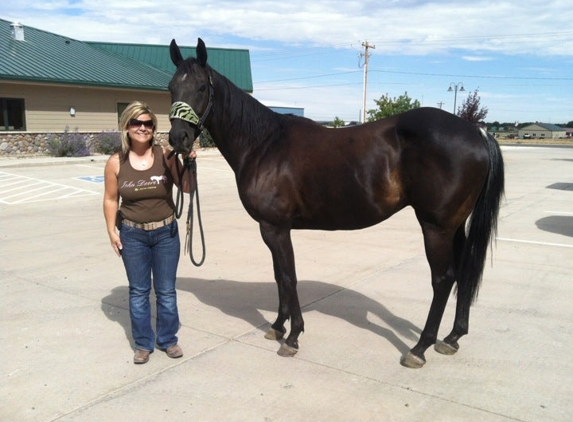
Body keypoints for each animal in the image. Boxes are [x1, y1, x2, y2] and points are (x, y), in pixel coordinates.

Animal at [165, 39, 500, 370]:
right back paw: (452, 338)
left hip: (436, 227)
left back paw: (419, 348)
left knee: (443, 280)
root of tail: (477, 131)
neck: (263, 145)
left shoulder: (275, 227)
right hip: (455, 226)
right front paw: (277, 326)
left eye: (201, 88)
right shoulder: (272, 228)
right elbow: (279, 276)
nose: (178, 139)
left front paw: (293, 337)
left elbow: (288, 277)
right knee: (464, 272)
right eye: (171, 87)